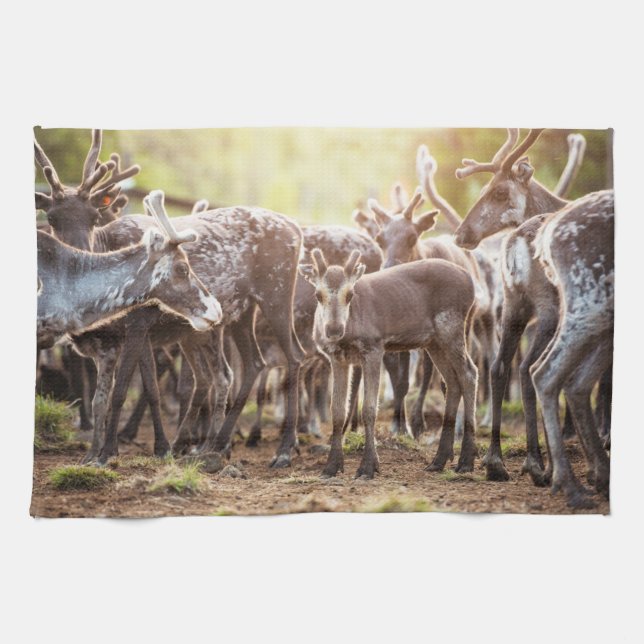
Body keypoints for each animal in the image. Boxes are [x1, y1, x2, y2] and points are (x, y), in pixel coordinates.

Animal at [299, 249, 478, 478]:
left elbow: (368, 409)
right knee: (452, 381)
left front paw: (368, 466)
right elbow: (337, 411)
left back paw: (466, 460)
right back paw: (439, 459)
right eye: (317, 295)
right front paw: (331, 466)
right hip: (434, 341)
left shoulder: (374, 348)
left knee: (469, 373)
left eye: (350, 294)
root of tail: (470, 281)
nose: (333, 330)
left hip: (451, 326)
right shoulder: (337, 358)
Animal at [452, 128, 612, 492]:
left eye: (498, 190)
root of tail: (515, 245)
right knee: (529, 368)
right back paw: (539, 464)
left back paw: (497, 463)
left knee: (501, 366)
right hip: (552, 310)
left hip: (516, 308)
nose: (460, 234)